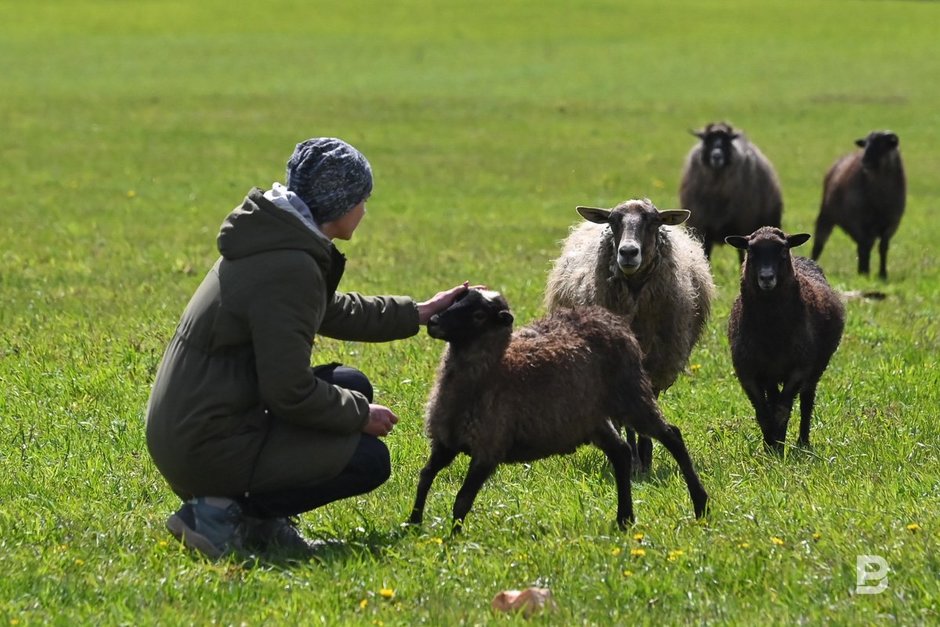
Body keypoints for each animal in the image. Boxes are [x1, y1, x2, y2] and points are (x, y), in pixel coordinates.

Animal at [408, 290, 708, 536]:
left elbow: (462, 499)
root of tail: (608, 318)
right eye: (456, 300)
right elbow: (424, 477)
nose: (433, 321)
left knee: (672, 436)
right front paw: (413, 523)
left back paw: (700, 506)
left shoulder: (488, 449)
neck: (493, 372)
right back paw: (625, 519)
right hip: (591, 417)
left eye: (479, 315)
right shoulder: (446, 442)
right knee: (622, 452)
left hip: (632, 396)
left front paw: (453, 540)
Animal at [544, 199, 712, 474]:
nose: (628, 252)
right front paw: (633, 461)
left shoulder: (655, 364)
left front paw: (646, 459)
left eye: (654, 221)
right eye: (613, 221)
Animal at [724, 226, 848, 452]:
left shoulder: (800, 368)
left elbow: (783, 409)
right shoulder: (747, 371)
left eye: (783, 250)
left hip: (816, 367)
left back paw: (803, 442)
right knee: (773, 399)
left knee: (806, 400)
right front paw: (770, 447)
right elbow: (763, 412)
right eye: (750, 251)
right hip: (771, 373)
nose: (766, 278)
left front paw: (778, 446)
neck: (771, 331)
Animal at [812, 130, 908, 280]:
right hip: (826, 215)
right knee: (819, 242)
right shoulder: (859, 222)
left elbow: (883, 247)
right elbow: (865, 246)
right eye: (866, 144)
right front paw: (864, 272)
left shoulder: (891, 224)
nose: (865, 161)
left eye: (883, 144)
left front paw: (882, 274)